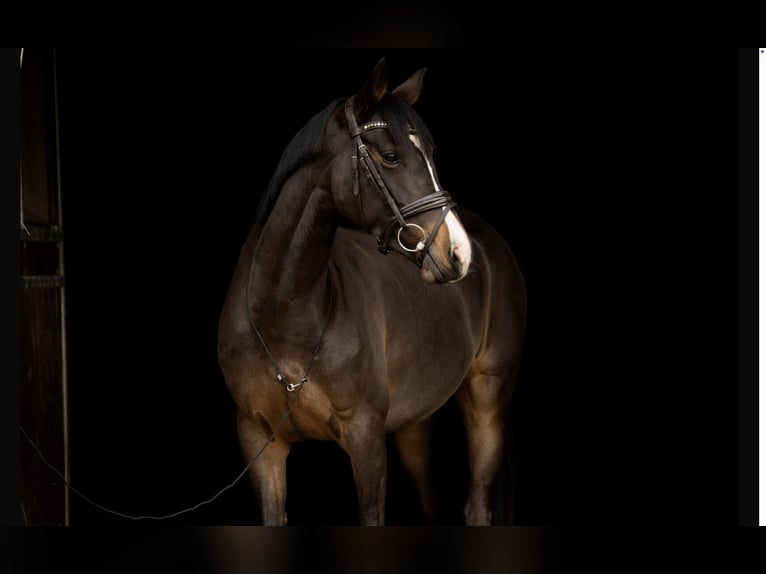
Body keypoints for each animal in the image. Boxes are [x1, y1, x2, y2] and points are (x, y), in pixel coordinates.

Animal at [217, 58, 526, 526]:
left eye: (430, 155)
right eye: (392, 156)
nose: (458, 253)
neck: (283, 311)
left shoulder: (365, 440)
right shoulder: (258, 441)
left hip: (487, 398)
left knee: (477, 505)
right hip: (416, 421)